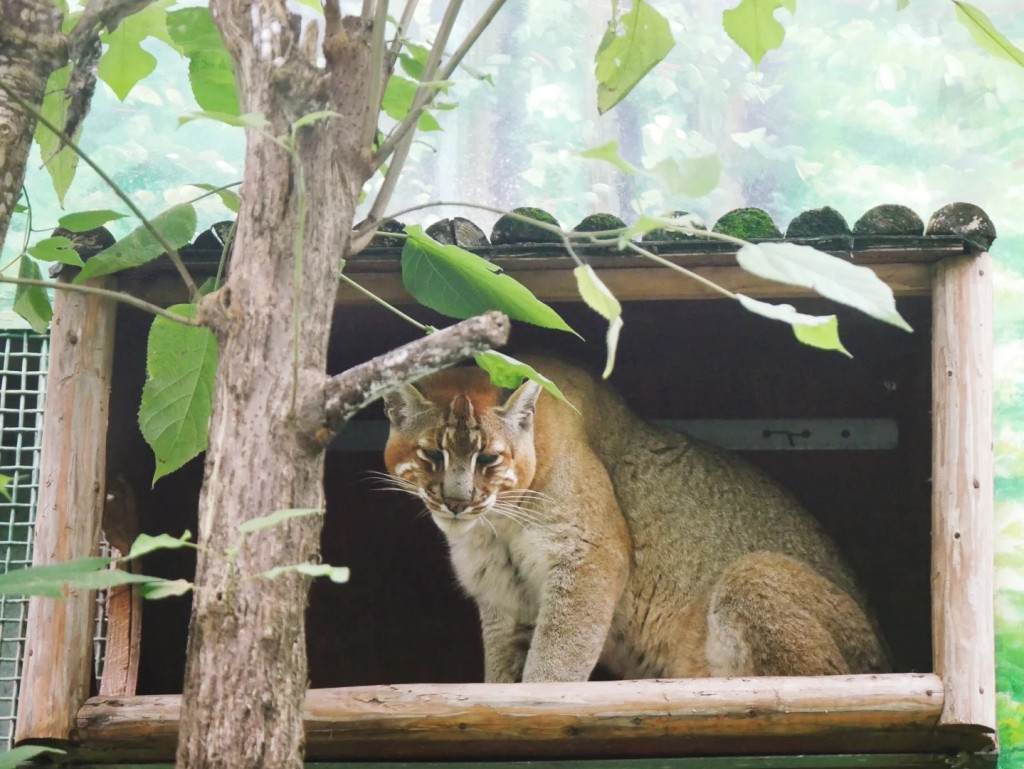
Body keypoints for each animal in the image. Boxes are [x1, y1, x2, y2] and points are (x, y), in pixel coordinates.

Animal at [380, 358, 884, 684]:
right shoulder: (502, 596)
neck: (495, 527)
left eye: (488, 459)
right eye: (431, 456)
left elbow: (557, 657)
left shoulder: (589, 555)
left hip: (754, 571)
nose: (456, 501)